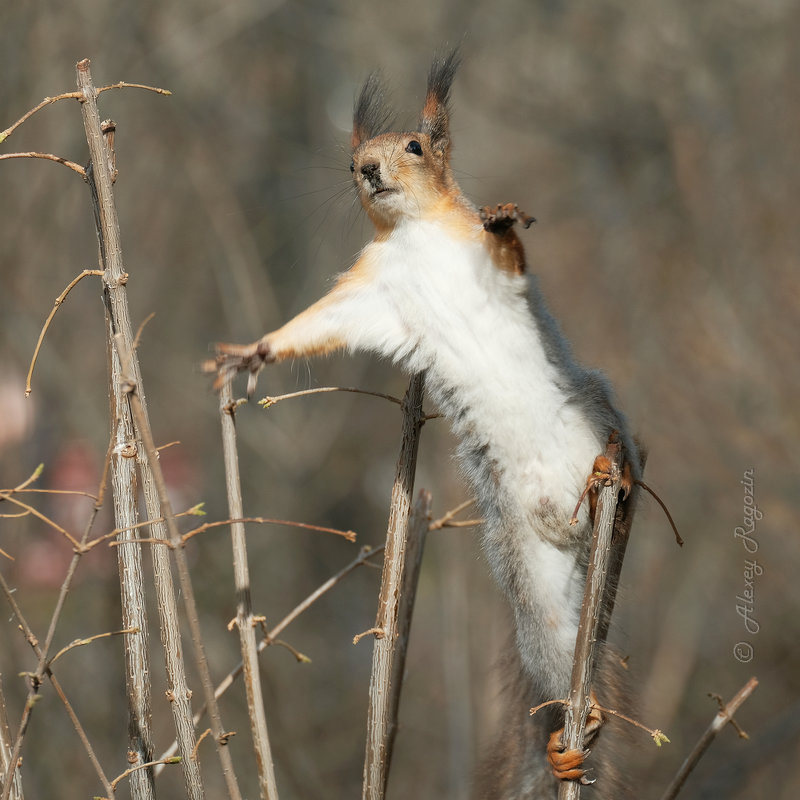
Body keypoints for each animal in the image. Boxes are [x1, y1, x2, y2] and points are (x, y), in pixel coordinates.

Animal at [208, 53, 644, 796]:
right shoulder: (370, 293)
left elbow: (508, 258)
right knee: (557, 652)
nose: (368, 171)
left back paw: (611, 473)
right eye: (352, 158)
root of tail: (579, 531)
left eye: (414, 146)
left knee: (622, 474)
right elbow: (314, 327)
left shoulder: (490, 270)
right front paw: (253, 351)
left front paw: (505, 219)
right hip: (537, 583)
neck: (415, 234)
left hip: (598, 416)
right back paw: (576, 728)